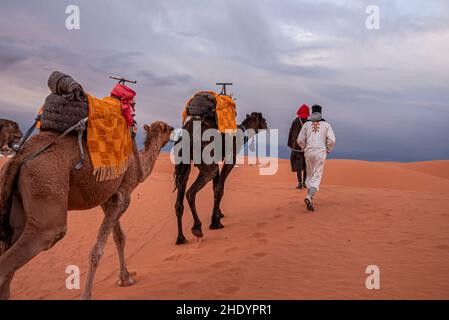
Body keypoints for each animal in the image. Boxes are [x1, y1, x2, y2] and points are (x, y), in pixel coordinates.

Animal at [0, 120, 173, 300]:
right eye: (167, 129)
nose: (174, 132)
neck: (140, 165)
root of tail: (20, 156)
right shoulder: (123, 196)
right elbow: (99, 249)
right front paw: (88, 294)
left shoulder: (108, 199)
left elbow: (119, 237)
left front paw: (125, 278)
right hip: (46, 184)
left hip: (18, 204)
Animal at [173, 112, 268, 245]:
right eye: (263, 119)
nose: (266, 125)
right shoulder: (230, 159)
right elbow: (219, 189)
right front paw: (215, 222)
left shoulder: (217, 160)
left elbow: (215, 187)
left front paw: (219, 214)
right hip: (206, 161)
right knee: (191, 192)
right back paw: (197, 228)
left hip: (184, 163)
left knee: (179, 200)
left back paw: (181, 238)